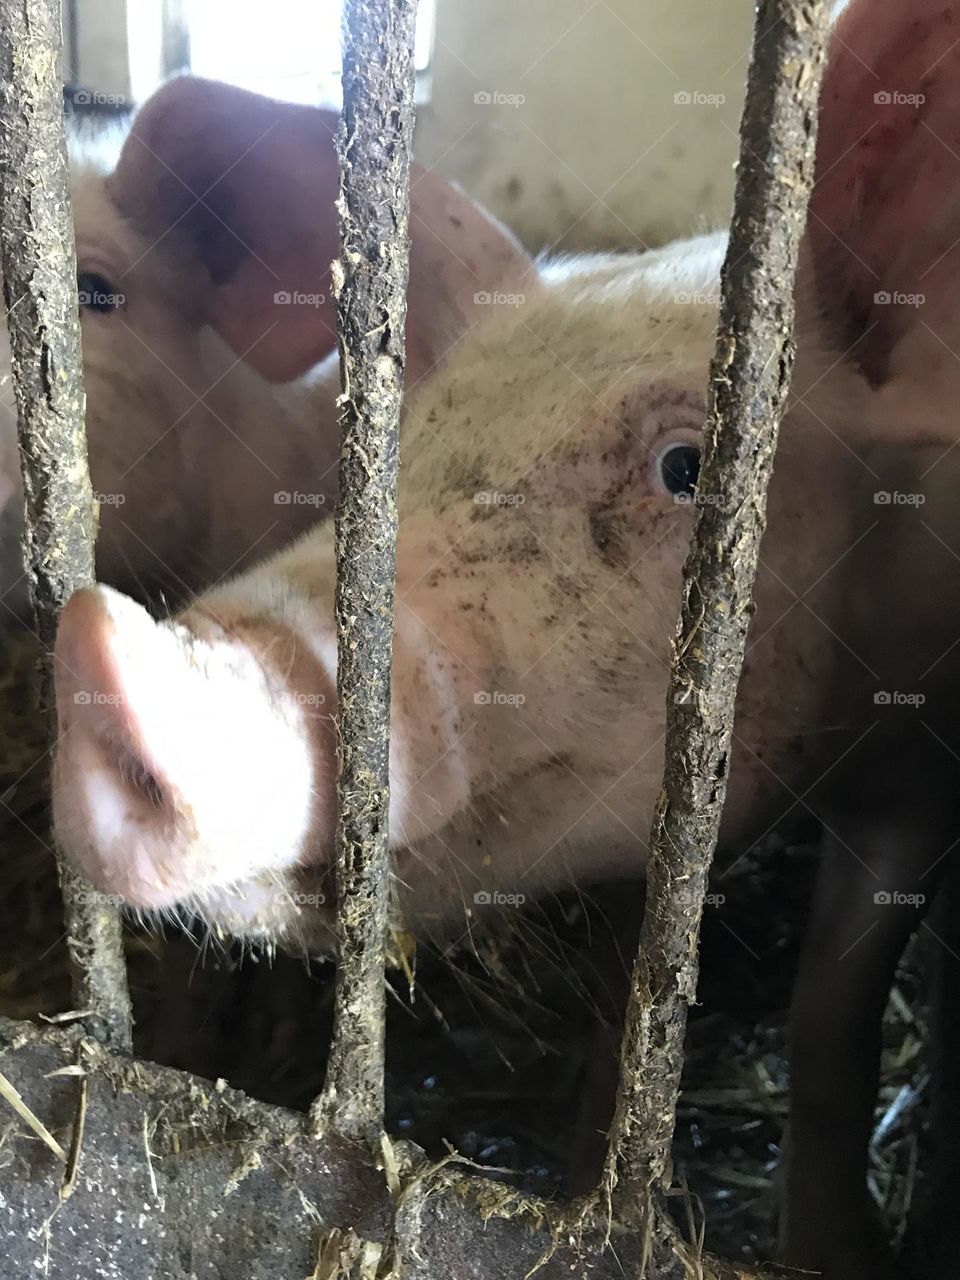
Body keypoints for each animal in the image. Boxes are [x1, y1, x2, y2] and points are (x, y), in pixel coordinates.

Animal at [49, 1, 960, 1276]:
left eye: (689, 467)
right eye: (414, 441)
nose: (98, 639)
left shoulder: (918, 762)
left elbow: (833, 1002)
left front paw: (827, 1245)